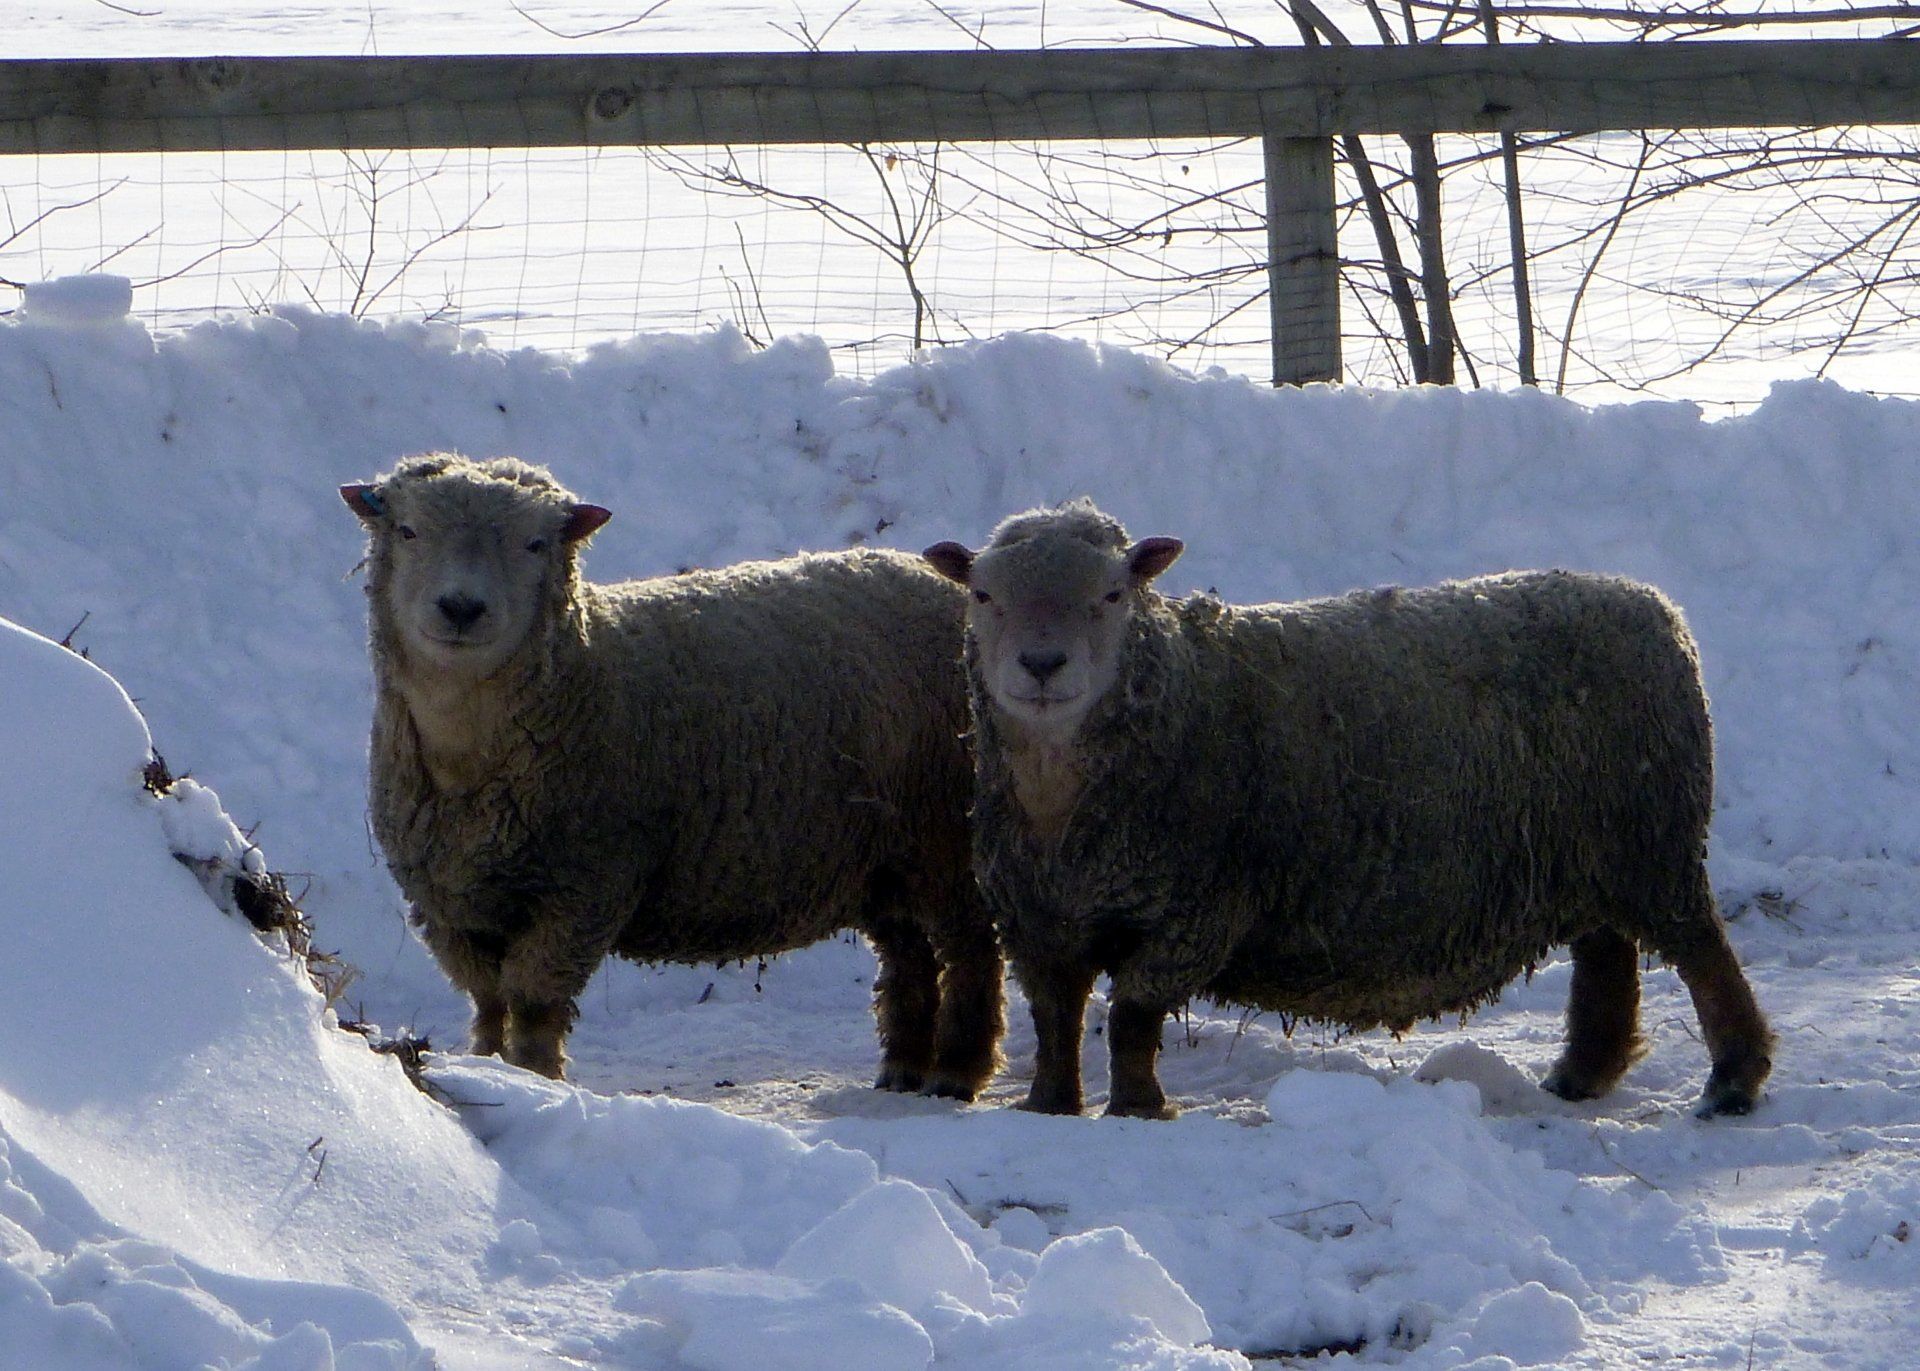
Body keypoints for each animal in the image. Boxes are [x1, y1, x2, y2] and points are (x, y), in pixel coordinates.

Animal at [340, 453, 1003, 1092]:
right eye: (407, 530)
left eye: (534, 543)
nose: (461, 608)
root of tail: (948, 583)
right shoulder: (450, 903)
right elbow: (488, 1002)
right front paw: (488, 1065)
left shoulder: (586, 886)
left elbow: (530, 1002)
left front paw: (533, 1078)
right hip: (886, 855)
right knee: (910, 956)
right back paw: (903, 1069)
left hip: (947, 835)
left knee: (972, 951)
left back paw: (956, 1071)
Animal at [924, 500, 1773, 1121]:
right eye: (983, 595)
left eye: (1111, 594)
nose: (1042, 664)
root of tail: (1653, 606)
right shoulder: (1037, 921)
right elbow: (1056, 1019)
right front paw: (1048, 1106)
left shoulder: (1193, 913)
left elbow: (1132, 1017)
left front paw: (1137, 1109)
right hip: (1591, 854)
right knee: (1608, 955)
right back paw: (1583, 1073)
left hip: (1652, 842)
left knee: (1702, 953)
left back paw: (1733, 1080)